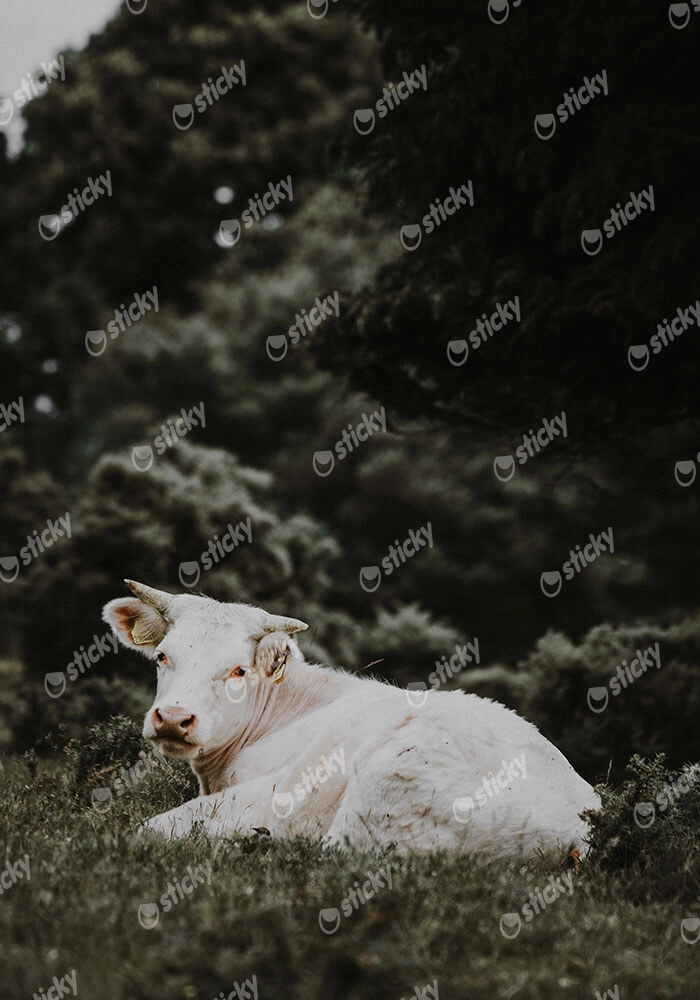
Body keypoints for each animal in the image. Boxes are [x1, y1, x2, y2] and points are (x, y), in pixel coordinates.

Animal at [103, 580, 600, 861]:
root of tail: (581, 828)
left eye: (238, 670)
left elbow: (151, 829)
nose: (173, 718)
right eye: (162, 656)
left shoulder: (274, 793)